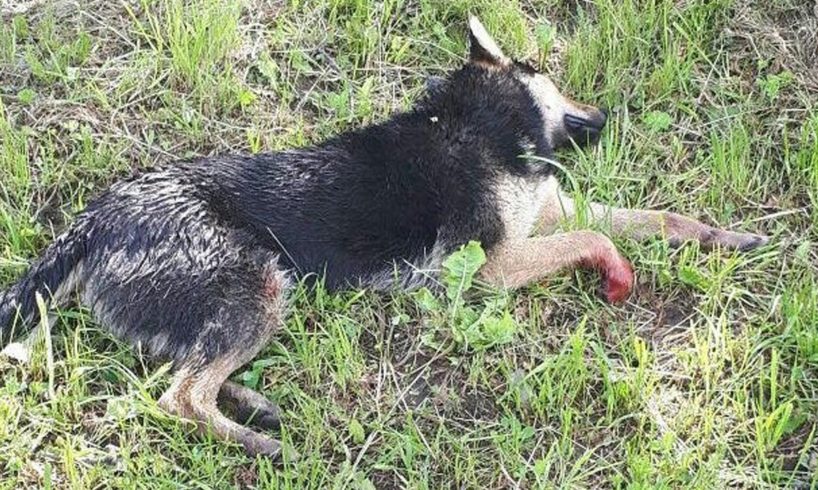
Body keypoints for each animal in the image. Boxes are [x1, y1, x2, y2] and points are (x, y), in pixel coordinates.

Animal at [0, 16, 764, 460]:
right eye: (550, 71)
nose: (604, 115)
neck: (475, 123)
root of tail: (95, 220)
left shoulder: (552, 212)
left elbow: (657, 218)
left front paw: (728, 236)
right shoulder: (492, 264)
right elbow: (592, 242)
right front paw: (617, 268)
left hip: (235, 304)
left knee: (183, 373)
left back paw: (252, 404)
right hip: (259, 285)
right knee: (176, 398)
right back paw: (263, 448)